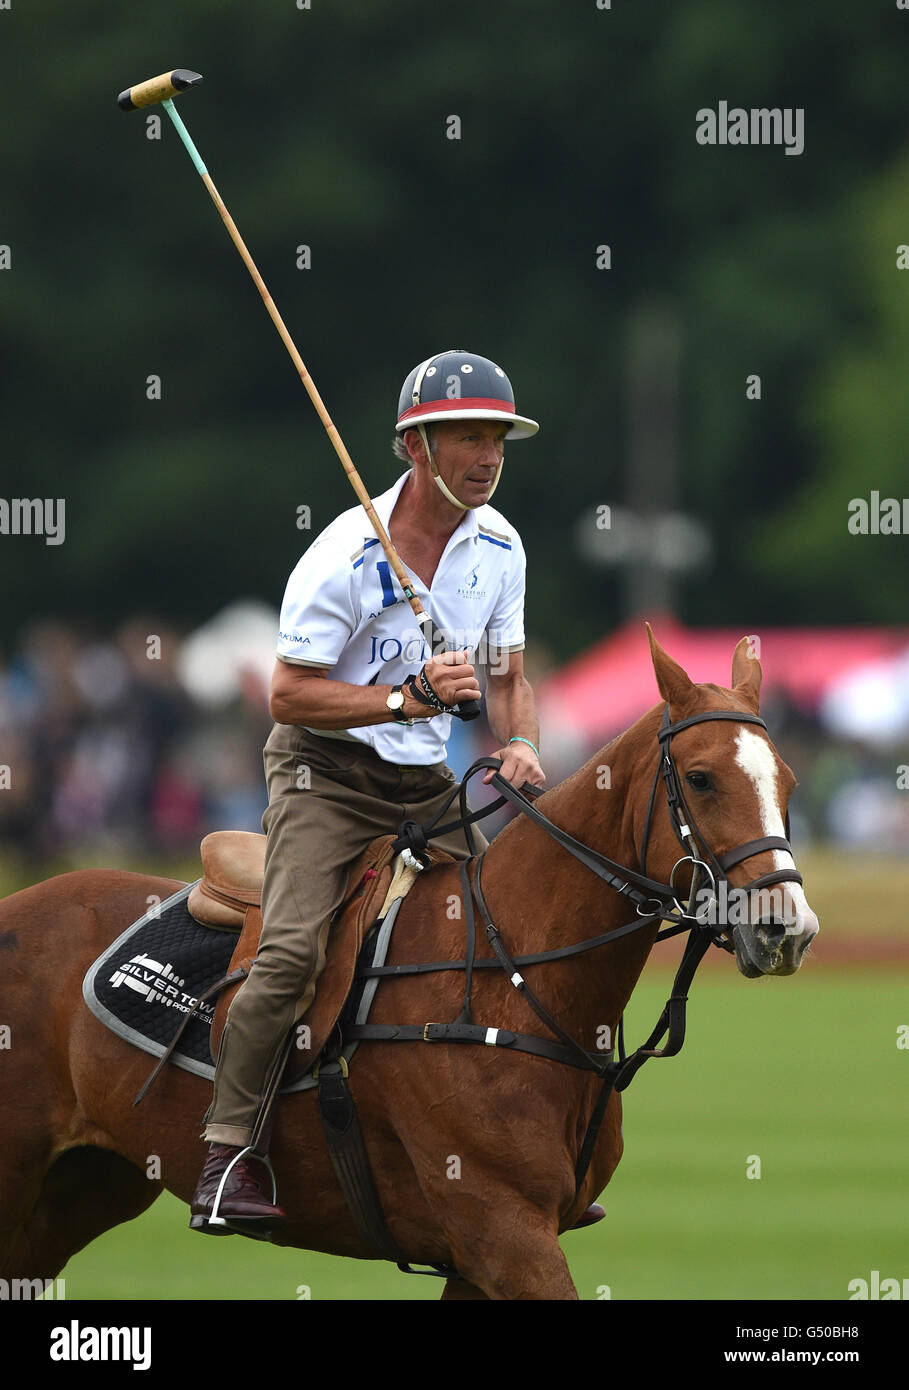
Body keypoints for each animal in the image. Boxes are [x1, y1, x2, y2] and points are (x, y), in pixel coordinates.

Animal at [0, 633, 822, 1301]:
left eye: (787, 780)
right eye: (702, 777)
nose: (787, 929)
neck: (517, 981)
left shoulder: (483, 1255)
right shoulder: (502, 1232)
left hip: (88, 1186)